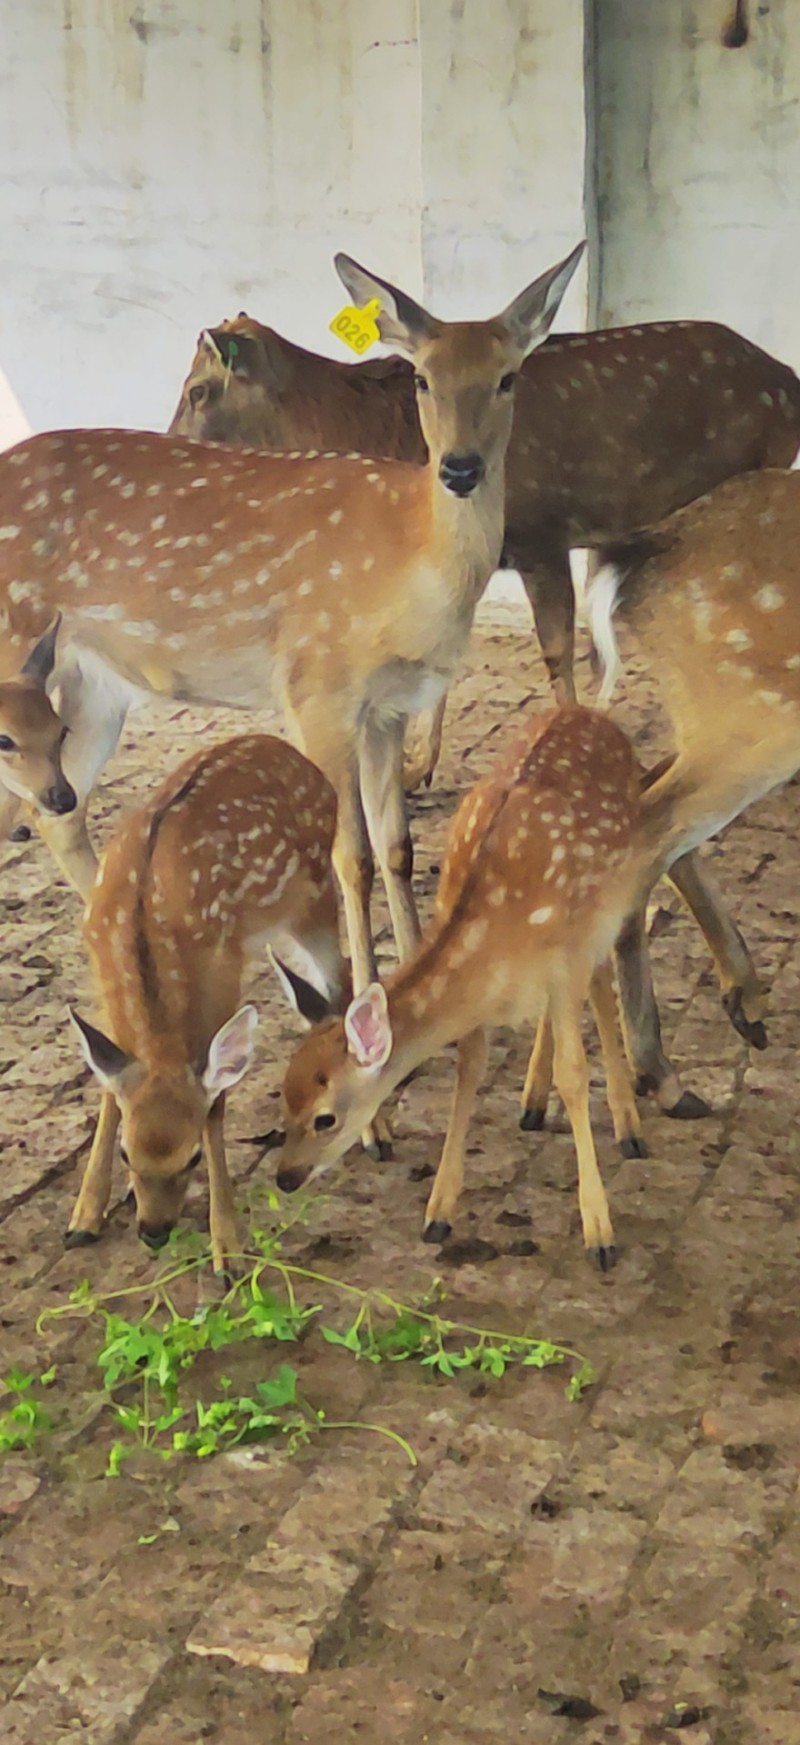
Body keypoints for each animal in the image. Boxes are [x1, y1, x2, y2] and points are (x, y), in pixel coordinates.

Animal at [0, 244, 583, 998]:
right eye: (422, 378)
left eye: (507, 377)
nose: (460, 468)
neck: (408, 559)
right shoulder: (317, 688)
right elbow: (349, 855)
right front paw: (364, 994)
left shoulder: (388, 706)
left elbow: (396, 846)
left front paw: (411, 969)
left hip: (90, 684)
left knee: (60, 810)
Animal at [67, 733, 349, 1274]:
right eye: (127, 1154)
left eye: (192, 1157)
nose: (154, 1231)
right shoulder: (101, 974)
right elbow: (108, 1084)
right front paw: (84, 1217)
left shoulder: (221, 973)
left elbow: (216, 1103)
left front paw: (228, 1248)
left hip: (317, 896)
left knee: (341, 991)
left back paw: (375, 1133)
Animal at [273, 706, 656, 1271]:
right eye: (284, 1099)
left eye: (325, 1118)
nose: (285, 1176)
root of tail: (589, 712)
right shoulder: (491, 998)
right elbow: (468, 1070)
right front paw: (439, 1213)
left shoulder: (566, 958)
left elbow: (574, 1076)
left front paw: (599, 1234)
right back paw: (534, 1103)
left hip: (613, 901)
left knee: (605, 978)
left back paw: (628, 1126)